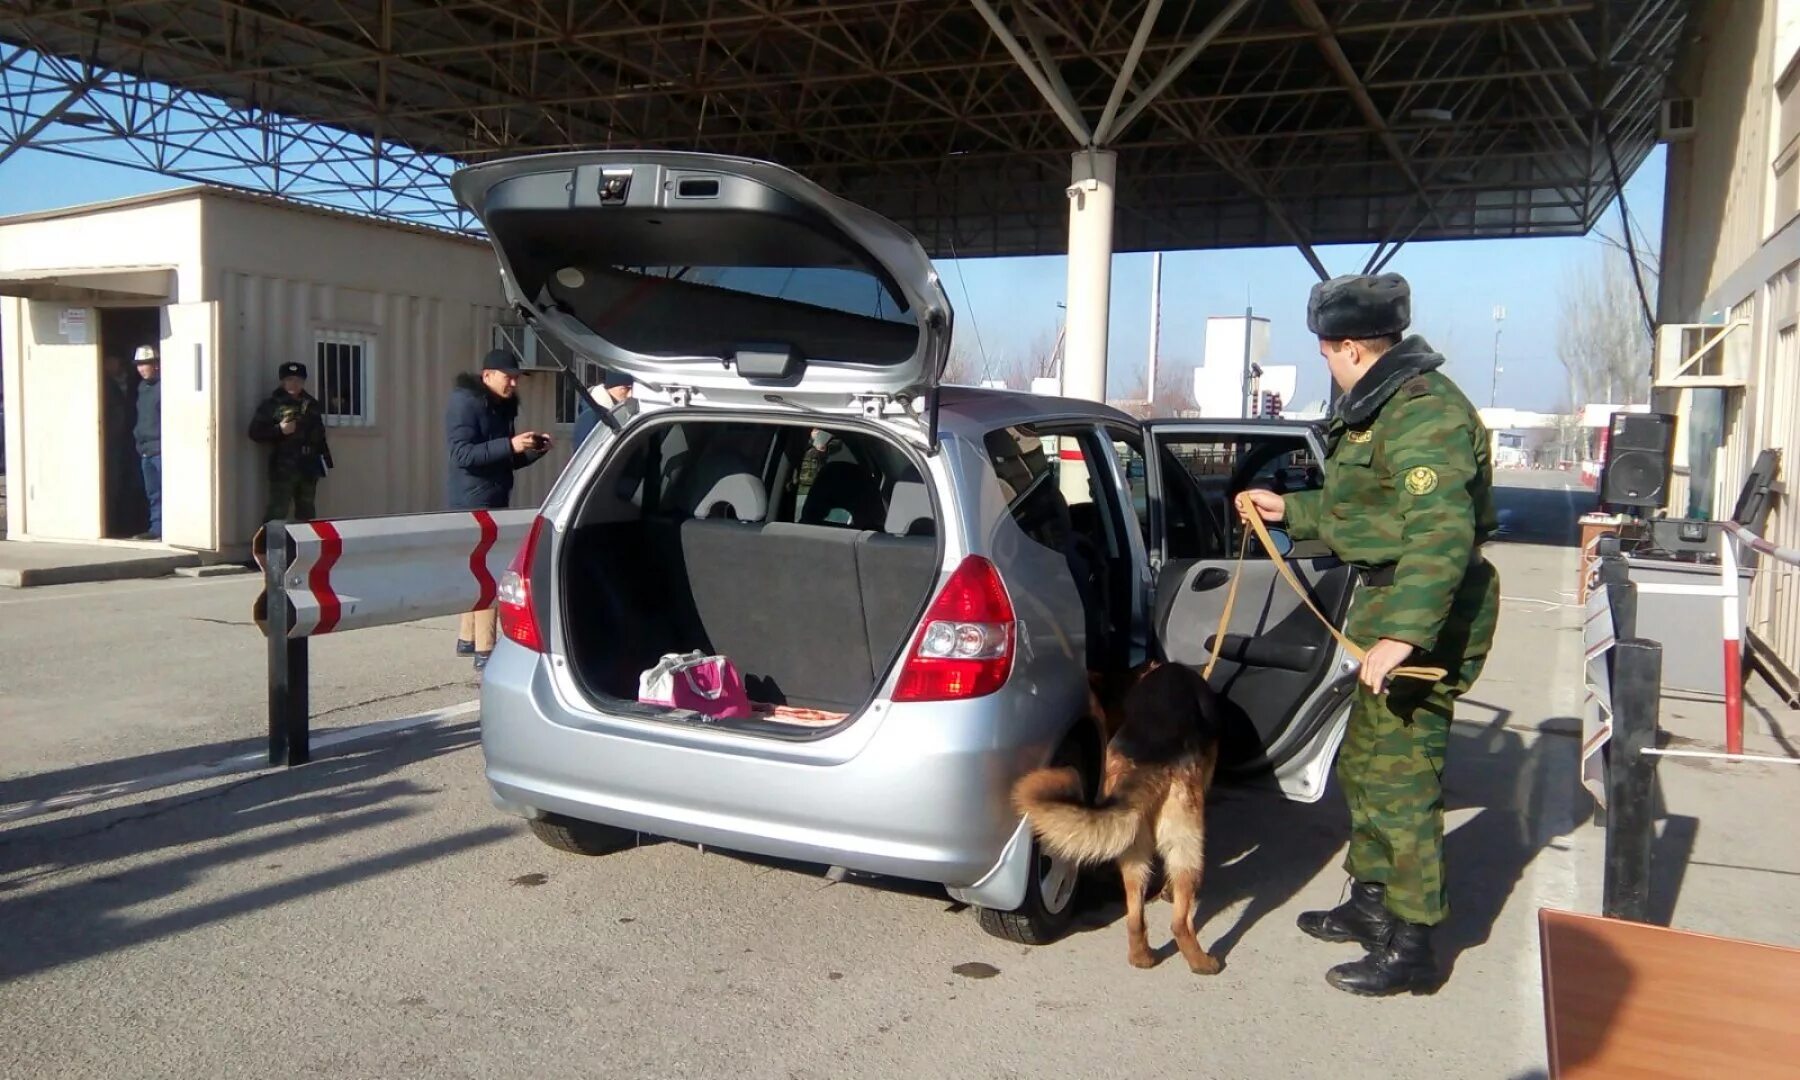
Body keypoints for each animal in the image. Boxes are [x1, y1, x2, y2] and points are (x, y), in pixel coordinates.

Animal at [1015, 662, 1224, 972]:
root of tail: (1150, 758)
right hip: (1187, 843)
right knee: (1179, 922)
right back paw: (1201, 962)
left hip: (1134, 851)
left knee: (1135, 918)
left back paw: (1141, 957)